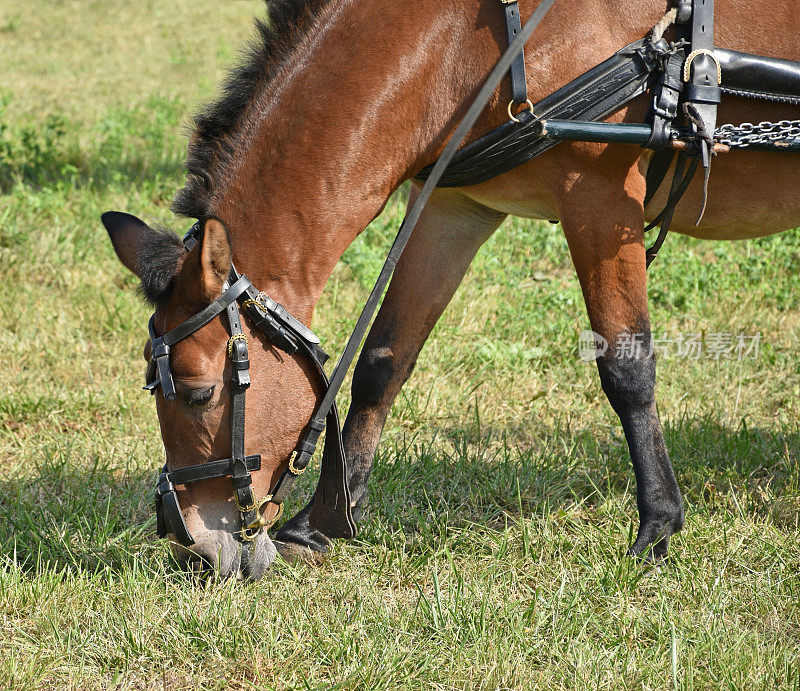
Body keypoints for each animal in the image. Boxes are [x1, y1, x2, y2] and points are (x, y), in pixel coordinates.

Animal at [103, 0, 800, 580]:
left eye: (198, 392)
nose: (192, 545)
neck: (474, 41)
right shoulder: (452, 205)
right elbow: (384, 361)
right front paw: (322, 523)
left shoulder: (599, 196)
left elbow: (627, 367)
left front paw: (657, 526)